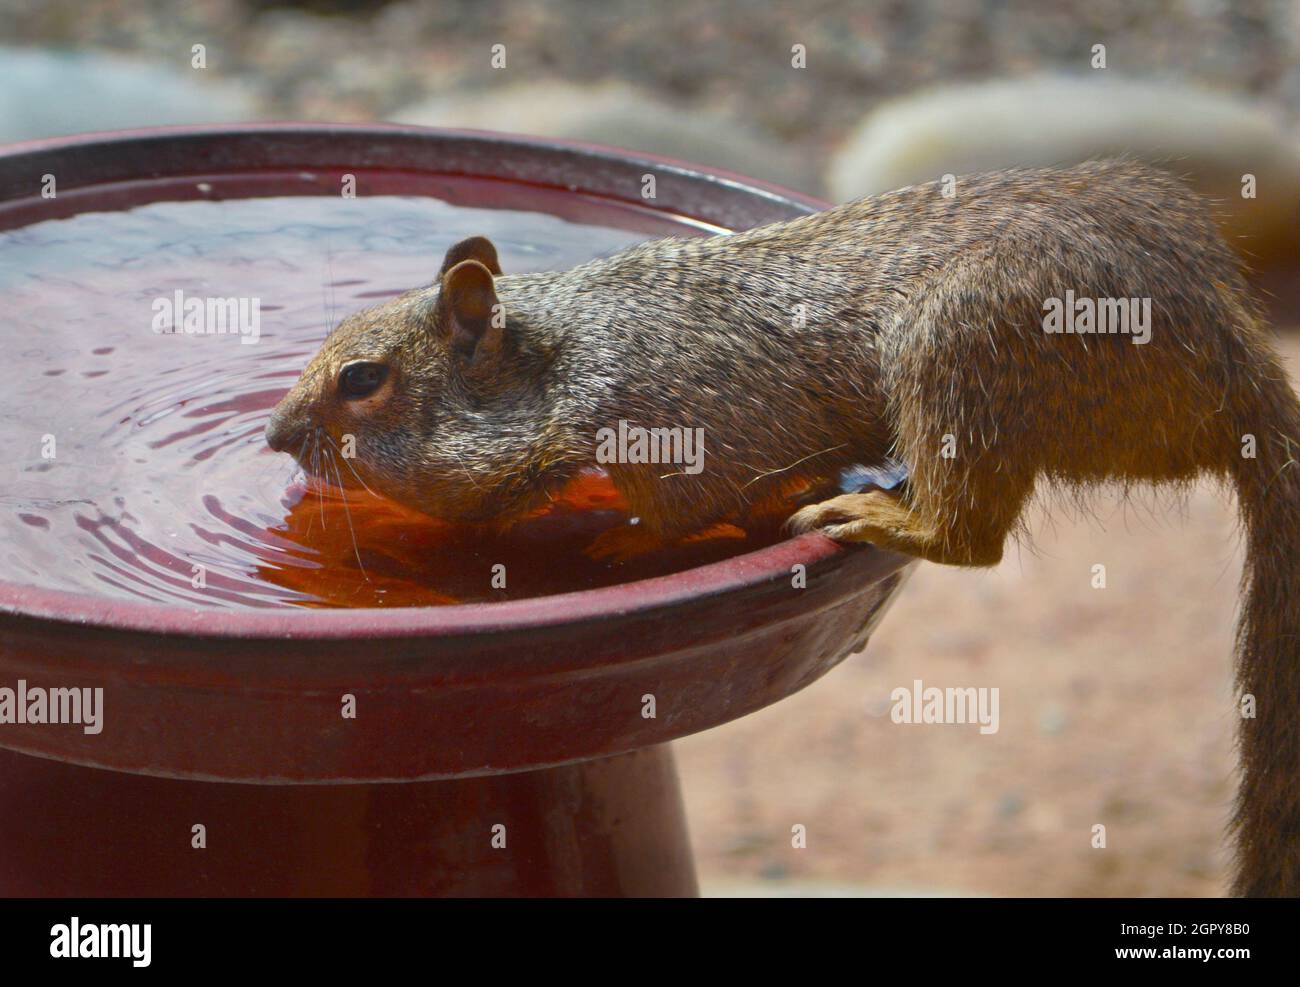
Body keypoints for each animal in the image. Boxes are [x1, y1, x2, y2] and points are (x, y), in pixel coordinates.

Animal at [266, 159, 1299, 897]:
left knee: (971, 538)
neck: (568, 348)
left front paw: (626, 537)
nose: (274, 435)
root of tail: (1233, 378)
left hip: (964, 347)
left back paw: (879, 512)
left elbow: (695, 505)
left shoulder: (686, 420)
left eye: (363, 378)